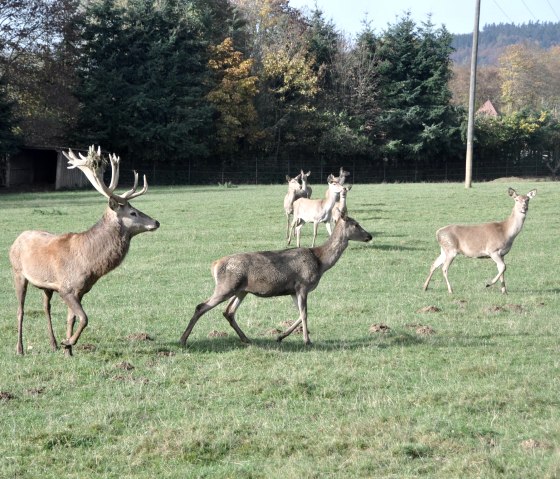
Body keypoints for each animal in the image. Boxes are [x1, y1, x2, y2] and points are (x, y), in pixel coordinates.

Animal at [9, 146, 161, 356]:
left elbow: (72, 318)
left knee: (46, 308)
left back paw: (53, 344)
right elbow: (84, 318)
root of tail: (17, 239)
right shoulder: (67, 288)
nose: (156, 222)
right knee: (20, 310)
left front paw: (67, 349)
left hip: (46, 286)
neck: (90, 263)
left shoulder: (80, 290)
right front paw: (68, 342)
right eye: (133, 213)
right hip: (17, 273)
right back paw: (20, 349)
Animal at [180, 214, 372, 344]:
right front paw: (307, 340)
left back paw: (246, 339)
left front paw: (281, 336)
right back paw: (183, 339)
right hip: (226, 286)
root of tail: (214, 265)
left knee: (228, 312)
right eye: (356, 224)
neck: (321, 262)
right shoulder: (303, 285)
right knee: (201, 306)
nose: (369, 235)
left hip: (241, 290)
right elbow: (304, 313)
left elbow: (300, 314)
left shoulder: (293, 290)